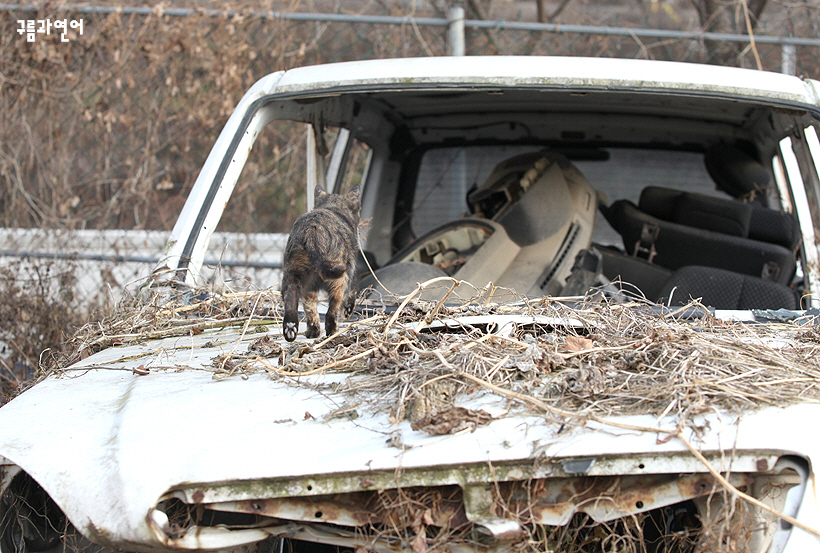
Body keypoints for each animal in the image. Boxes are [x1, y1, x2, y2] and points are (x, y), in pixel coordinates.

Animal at [282, 184, 358, 340]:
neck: (332, 207)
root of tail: (312, 230)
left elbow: (310, 308)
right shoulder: (352, 272)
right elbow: (353, 291)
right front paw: (348, 310)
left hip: (293, 275)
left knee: (295, 301)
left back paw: (295, 330)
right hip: (341, 278)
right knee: (332, 311)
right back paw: (332, 333)